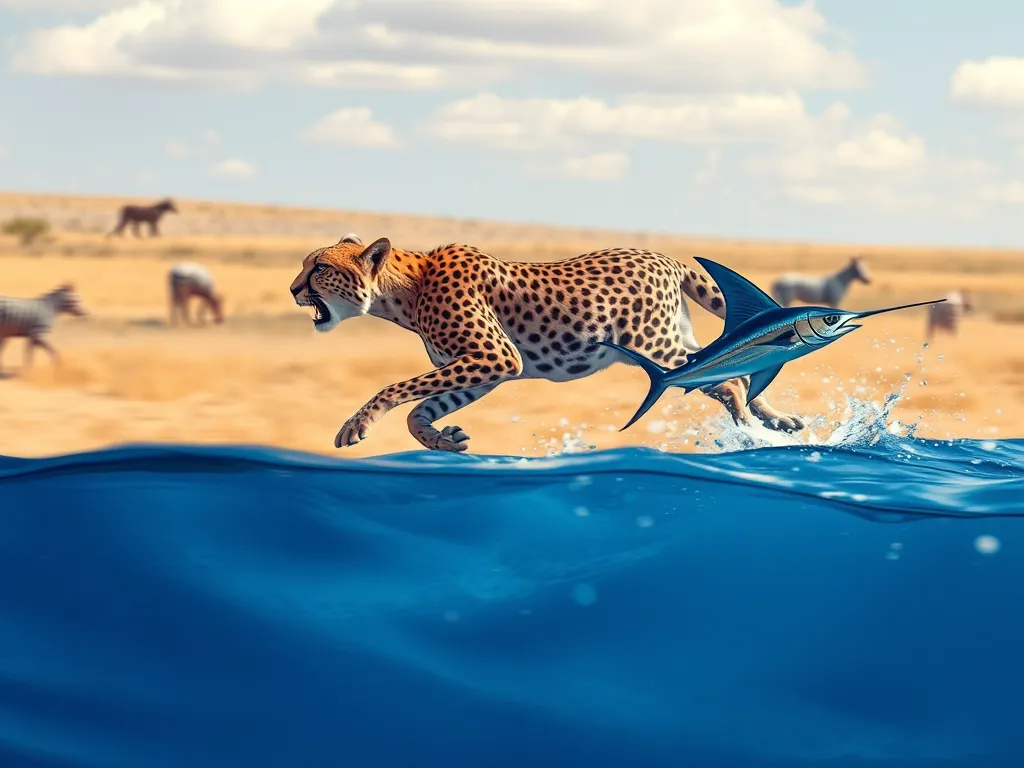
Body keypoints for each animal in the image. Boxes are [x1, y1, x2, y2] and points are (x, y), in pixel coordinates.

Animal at [289, 235, 806, 452]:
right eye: (305, 264)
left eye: (319, 267)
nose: (294, 289)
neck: (404, 290)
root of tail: (666, 256)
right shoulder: (482, 369)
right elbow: (420, 411)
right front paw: (442, 439)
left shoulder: (495, 356)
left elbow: (394, 388)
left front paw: (356, 425)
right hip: (672, 341)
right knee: (739, 372)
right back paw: (777, 422)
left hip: (656, 347)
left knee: (731, 379)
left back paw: (748, 433)